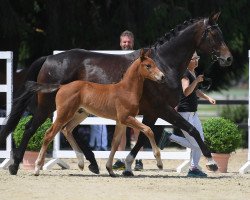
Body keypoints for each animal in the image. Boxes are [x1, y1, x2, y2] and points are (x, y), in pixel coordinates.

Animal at [31, 48, 165, 177]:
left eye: (154, 63)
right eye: (148, 65)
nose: (162, 77)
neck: (127, 90)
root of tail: (62, 86)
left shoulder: (120, 122)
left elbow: (115, 143)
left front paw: (110, 170)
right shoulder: (126, 118)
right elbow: (148, 130)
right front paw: (159, 163)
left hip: (80, 114)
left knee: (67, 129)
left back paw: (81, 163)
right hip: (64, 114)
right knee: (49, 134)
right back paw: (37, 168)